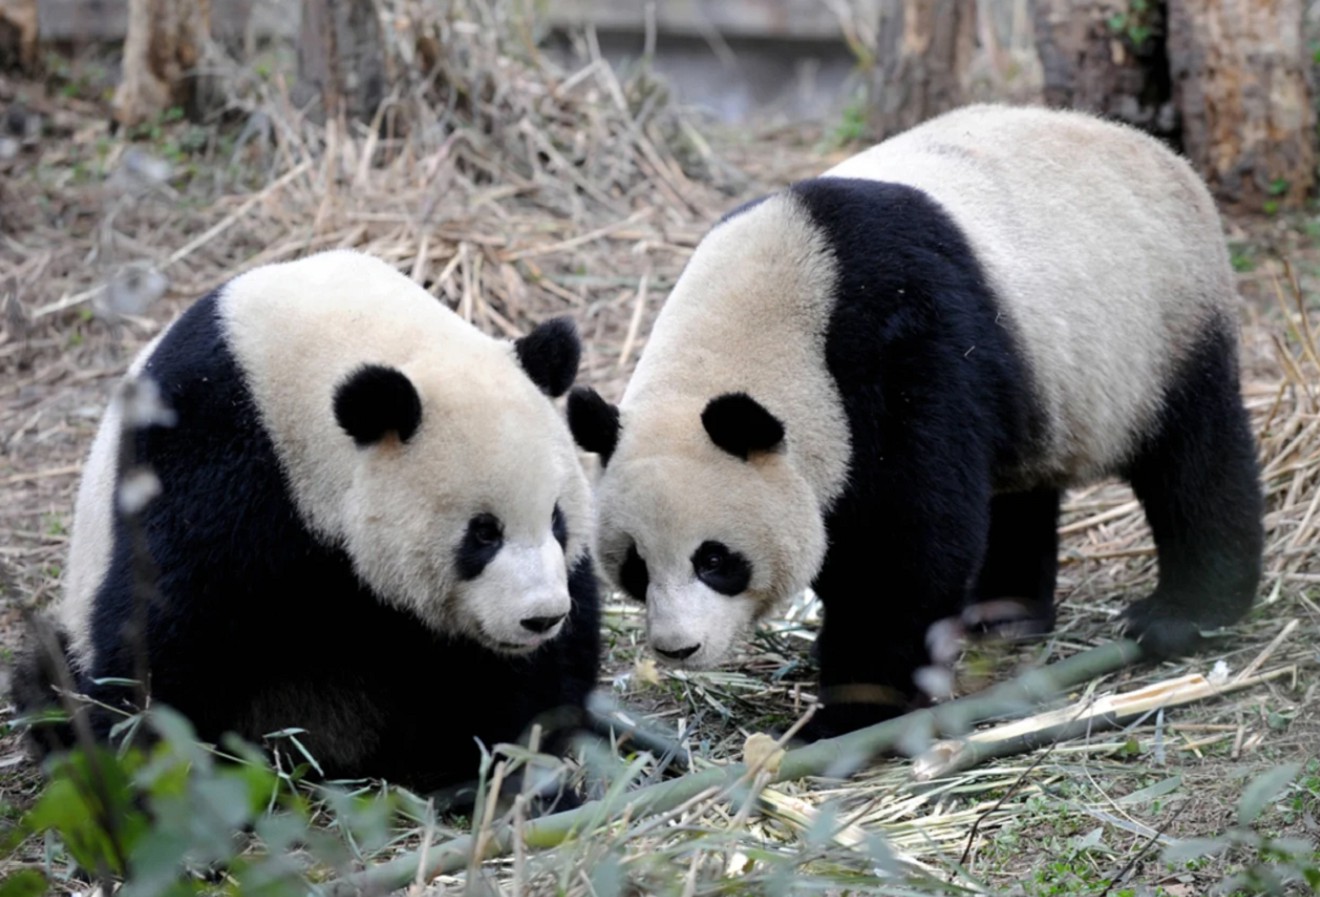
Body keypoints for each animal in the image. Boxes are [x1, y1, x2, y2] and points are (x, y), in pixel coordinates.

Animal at [14, 249, 604, 796]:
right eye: (483, 532)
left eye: (557, 520)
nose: (540, 618)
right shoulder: (216, 456)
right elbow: (163, 629)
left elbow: (524, 675)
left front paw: (508, 765)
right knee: (48, 678)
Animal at [570, 103, 1267, 743]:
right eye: (634, 566)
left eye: (716, 559)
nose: (677, 648)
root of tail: (1157, 152)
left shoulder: (903, 345)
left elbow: (907, 541)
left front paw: (850, 713)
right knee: (1017, 486)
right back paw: (1002, 613)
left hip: (1161, 322)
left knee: (1194, 458)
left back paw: (1185, 612)